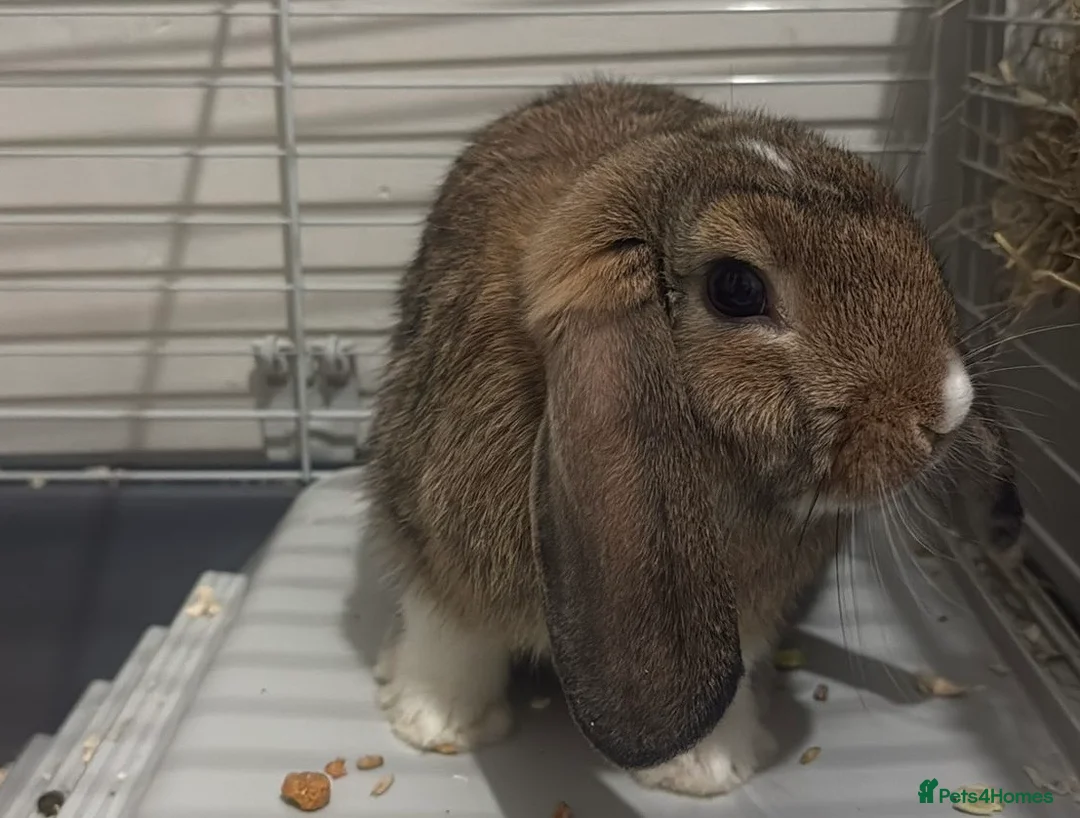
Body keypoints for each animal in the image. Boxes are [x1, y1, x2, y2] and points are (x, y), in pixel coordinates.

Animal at [362, 80, 1023, 798]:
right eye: (737, 287)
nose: (948, 408)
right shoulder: (432, 548)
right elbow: (450, 636)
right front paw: (436, 723)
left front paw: (709, 771)